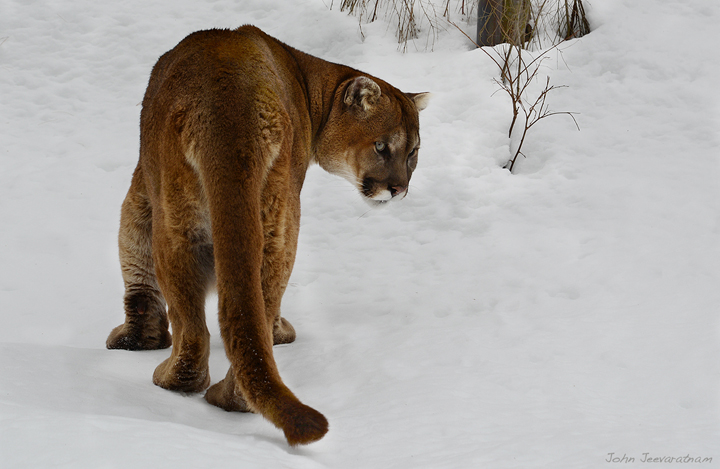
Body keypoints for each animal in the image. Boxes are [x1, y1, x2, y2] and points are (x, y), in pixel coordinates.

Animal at [106, 25, 429, 446]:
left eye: (413, 153)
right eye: (382, 146)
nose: (399, 189)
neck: (308, 82)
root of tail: (229, 112)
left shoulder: (145, 178)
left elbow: (133, 243)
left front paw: (137, 338)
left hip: (179, 219)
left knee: (193, 325)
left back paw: (180, 382)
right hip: (278, 221)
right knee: (261, 297)